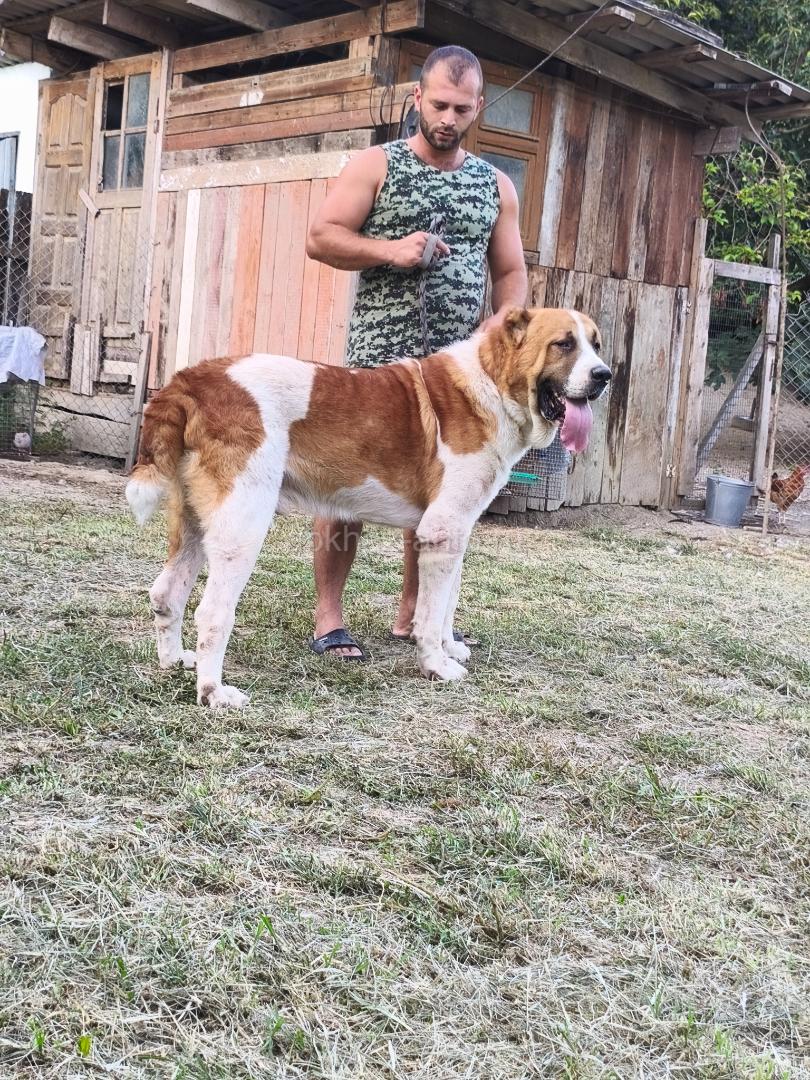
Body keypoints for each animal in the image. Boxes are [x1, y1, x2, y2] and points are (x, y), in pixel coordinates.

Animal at [126, 307, 610, 709]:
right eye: (563, 344)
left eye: (596, 344)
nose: (604, 376)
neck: (490, 384)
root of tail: (192, 379)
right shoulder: (442, 530)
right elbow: (430, 614)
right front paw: (437, 665)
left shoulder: (457, 530)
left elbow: (448, 599)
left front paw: (450, 646)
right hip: (242, 526)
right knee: (212, 613)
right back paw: (214, 692)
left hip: (192, 523)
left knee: (166, 593)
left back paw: (174, 661)